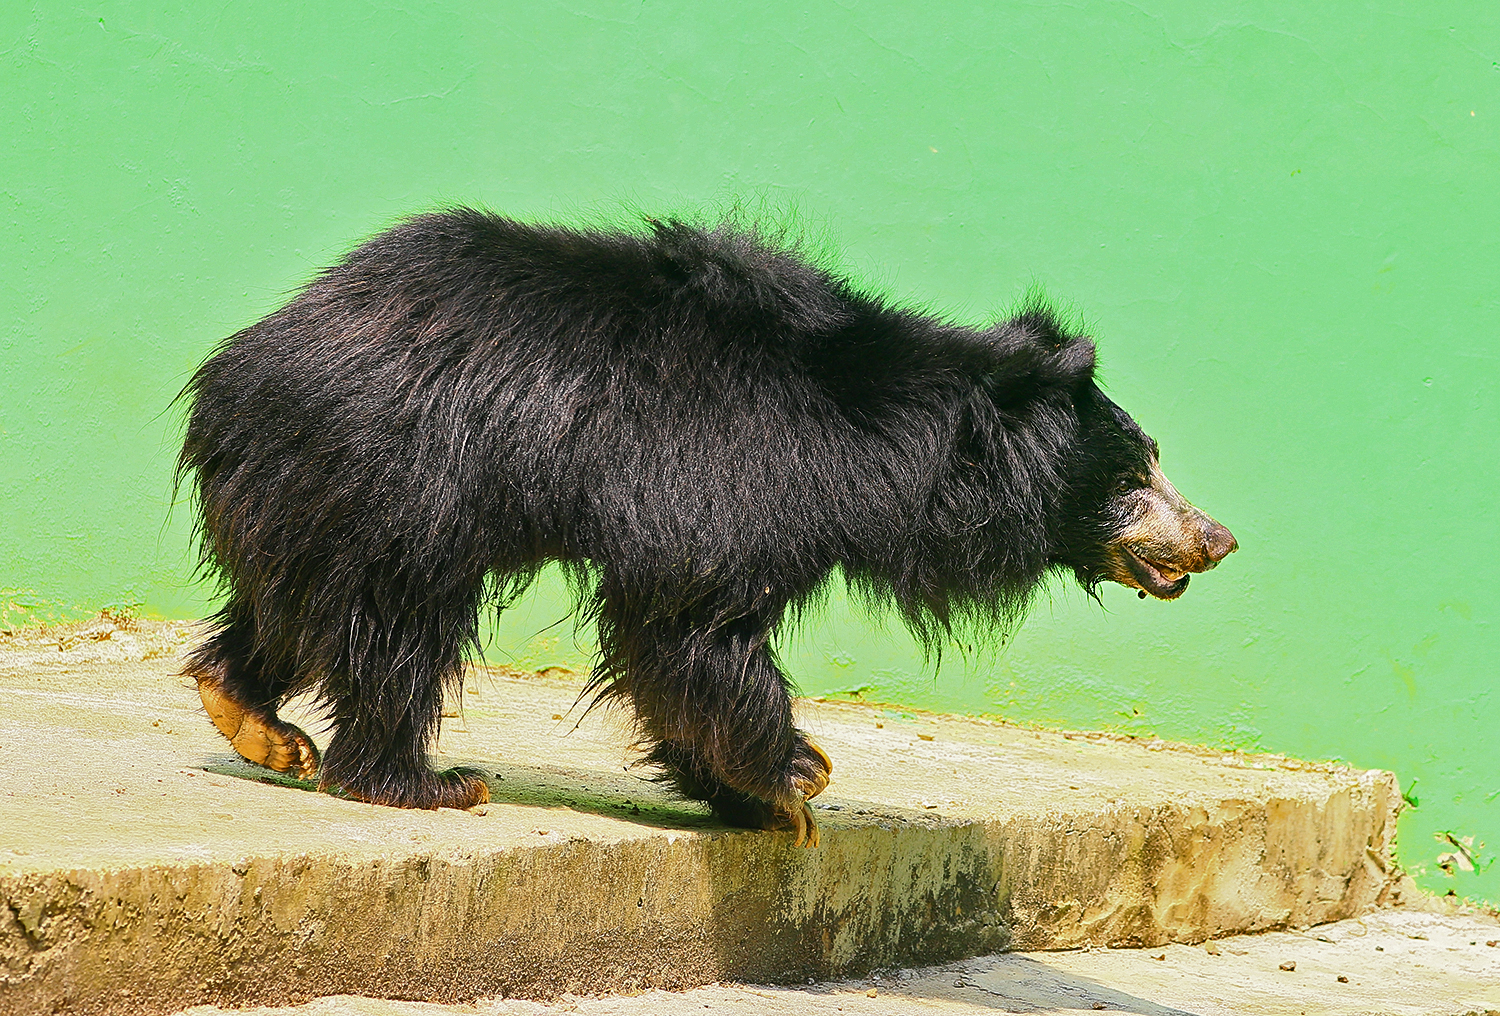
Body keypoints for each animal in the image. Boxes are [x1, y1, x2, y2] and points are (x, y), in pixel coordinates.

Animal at [177, 208, 1236, 846]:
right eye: (1135, 474)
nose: (1218, 539)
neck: (882, 449)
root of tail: (246, 359)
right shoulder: (724, 474)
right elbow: (693, 633)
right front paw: (792, 783)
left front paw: (769, 790)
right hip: (399, 476)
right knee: (397, 624)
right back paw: (422, 781)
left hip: (318, 491)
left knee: (298, 605)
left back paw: (254, 718)